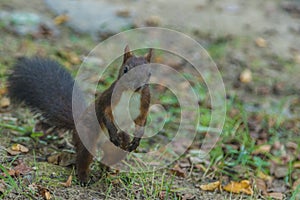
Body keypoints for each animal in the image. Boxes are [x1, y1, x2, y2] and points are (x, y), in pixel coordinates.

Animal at [7, 45, 152, 184]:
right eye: (126, 69)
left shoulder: (144, 105)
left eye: (149, 73)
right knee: (83, 158)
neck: (131, 94)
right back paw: (84, 177)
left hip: (118, 146)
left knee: (112, 155)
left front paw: (136, 141)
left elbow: (141, 122)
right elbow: (105, 115)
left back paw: (105, 169)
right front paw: (113, 133)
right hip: (87, 135)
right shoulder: (107, 99)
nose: (137, 85)